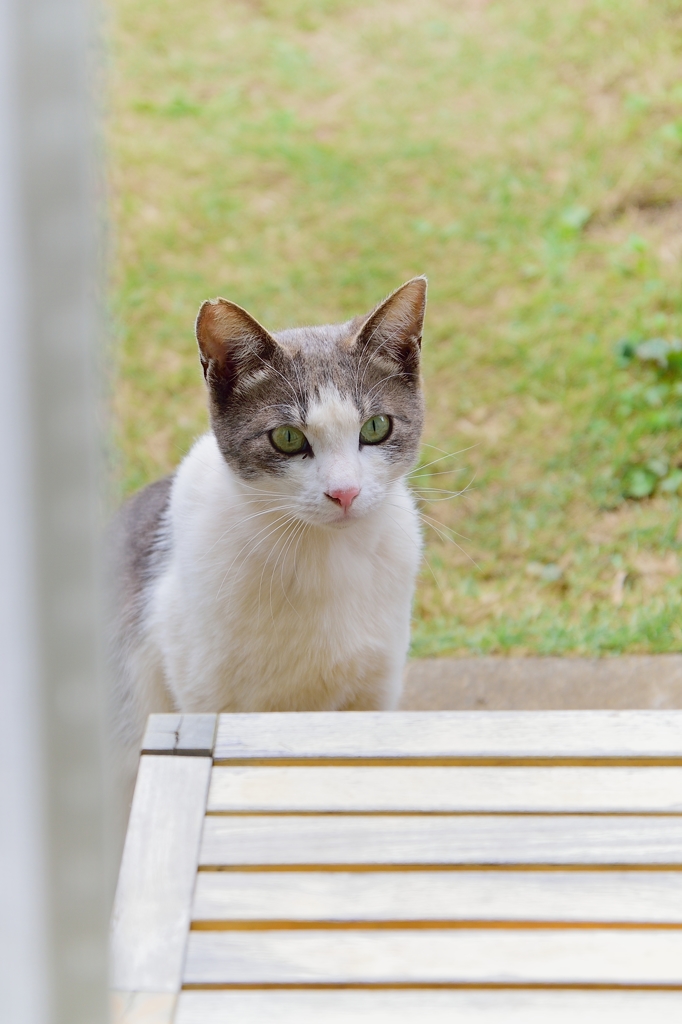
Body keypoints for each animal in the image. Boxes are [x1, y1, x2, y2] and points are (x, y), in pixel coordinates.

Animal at [106, 274, 425, 770]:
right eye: (288, 437)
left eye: (375, 428)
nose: (345, 493)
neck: (324, 558)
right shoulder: (203, 694)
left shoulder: (376, 690)